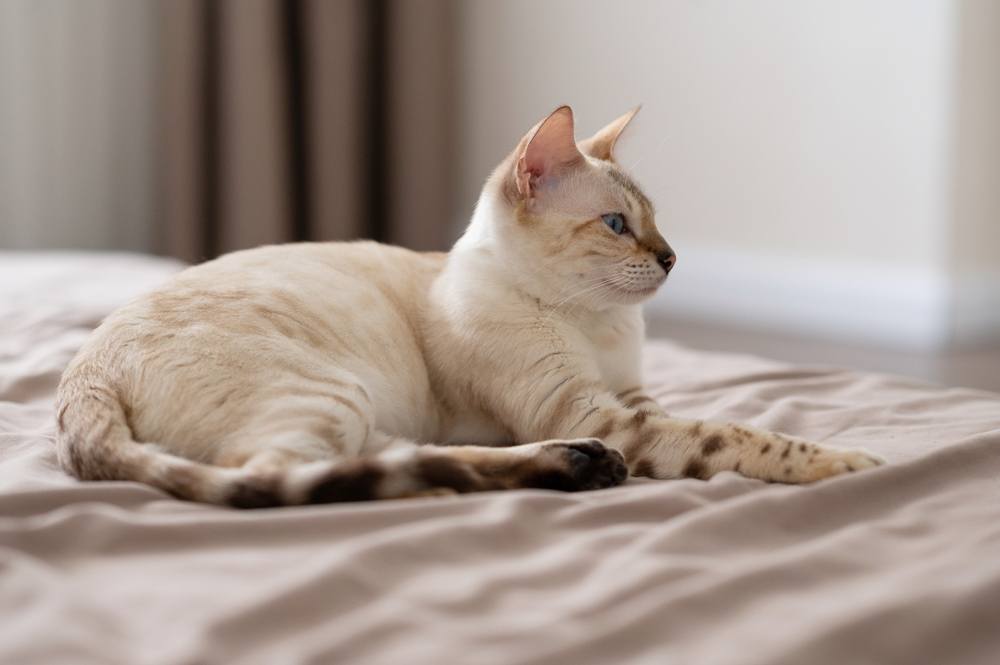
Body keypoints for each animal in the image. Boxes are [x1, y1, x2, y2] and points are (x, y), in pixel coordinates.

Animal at [54, 106, 884, 506]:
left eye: (655, 221)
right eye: (617, 225)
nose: (673, 257)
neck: (599, 324)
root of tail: (82, 378)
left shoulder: (633, 399)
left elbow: (715, 420)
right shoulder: (597, 409)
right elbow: (741, 436)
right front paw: (850, 461)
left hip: (364, 411)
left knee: (385, 458)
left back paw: (572, 466)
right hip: (332, 393)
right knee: (277, 478)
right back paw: (542, 470)